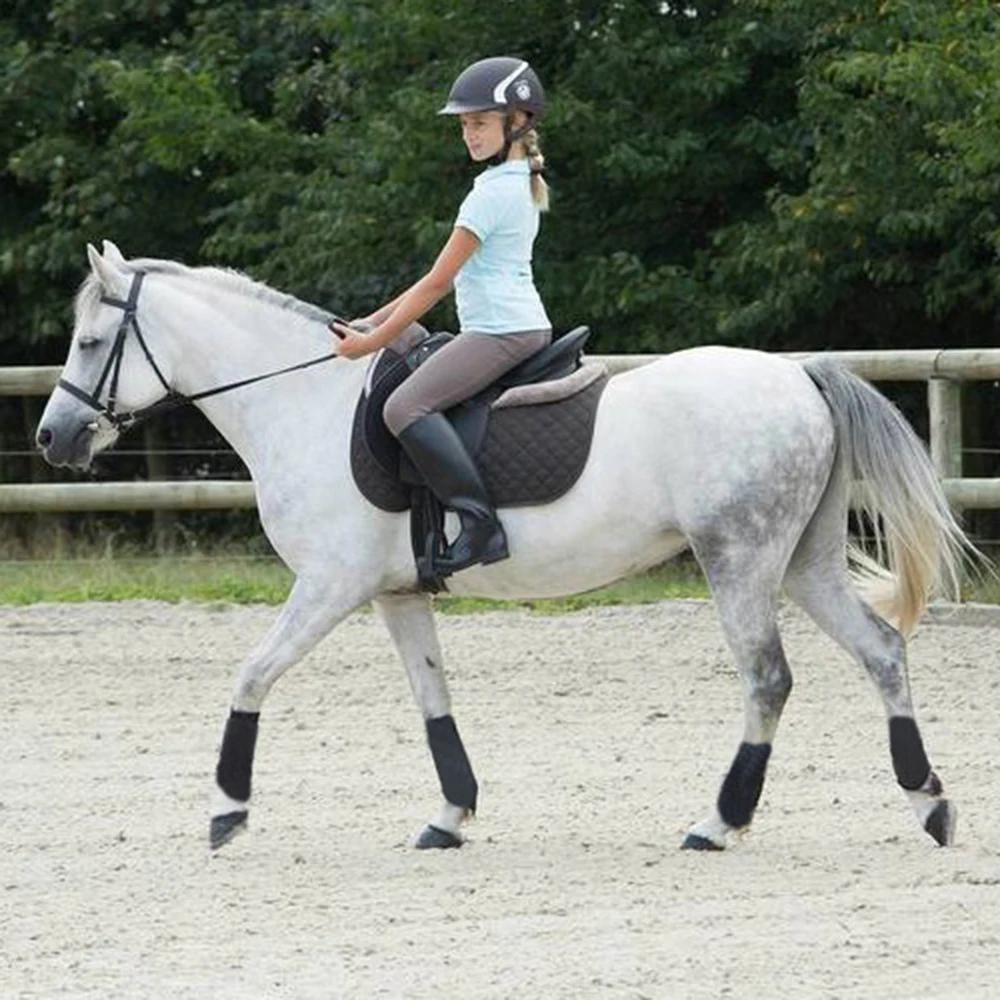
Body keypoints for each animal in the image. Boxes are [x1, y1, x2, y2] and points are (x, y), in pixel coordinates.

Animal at [36, 241, 976, 852]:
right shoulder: (395, 592)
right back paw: (928, 804)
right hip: (802, 562)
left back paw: (720, 822)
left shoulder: (332, 584)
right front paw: (451, 816)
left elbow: (251, 675)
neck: (303, 400)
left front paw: (228, 809)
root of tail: (797, 374)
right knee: (880, 651)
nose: (53, 438)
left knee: (768, 679)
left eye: (90, 342)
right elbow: (432, 698)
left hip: (738, 560)